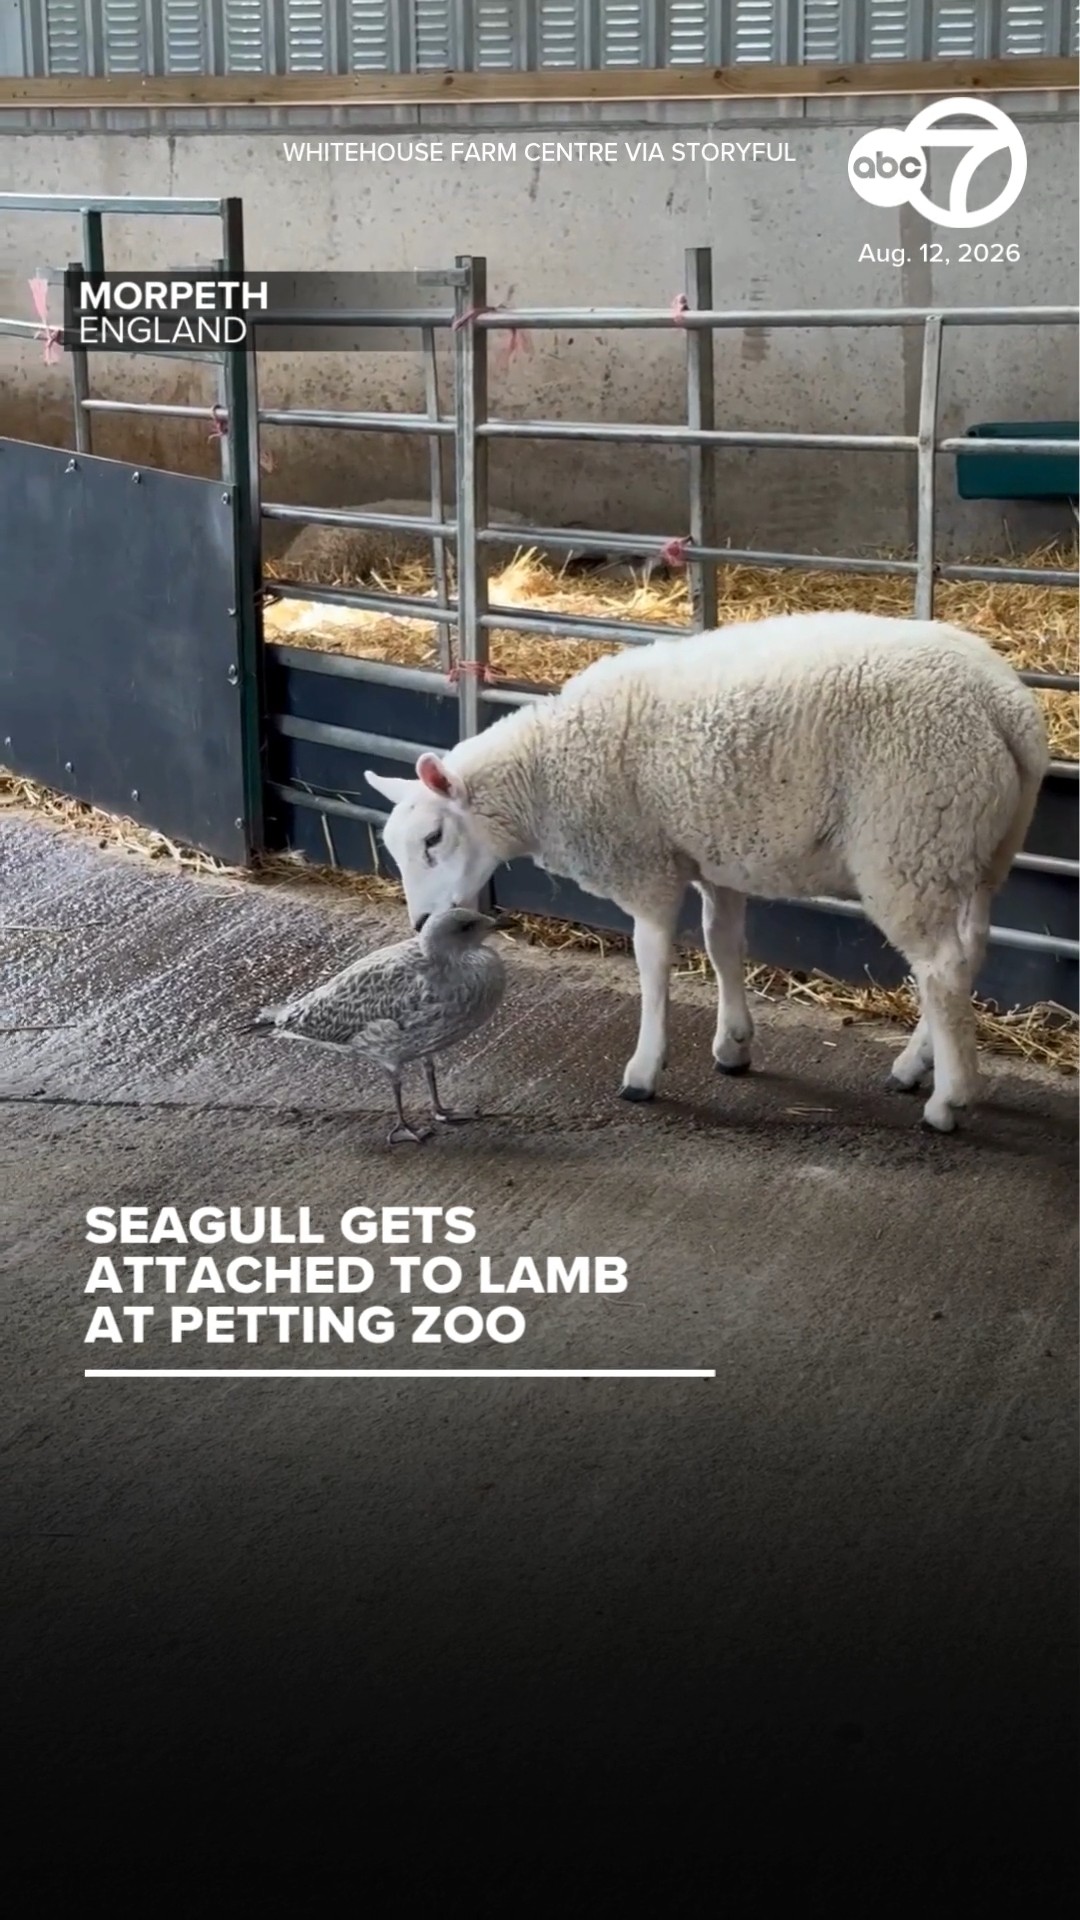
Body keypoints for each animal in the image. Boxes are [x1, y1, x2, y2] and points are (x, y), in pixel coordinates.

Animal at [364, 611, 1049, 1134]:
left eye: (433, 839)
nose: (422, 925)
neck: (546, 775)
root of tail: (1005, 705)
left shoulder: (645, 864)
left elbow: (652, 961)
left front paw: (644, 1071)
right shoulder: (714, 853)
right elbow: (724, 945)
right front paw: (733, 1045)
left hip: (909, 837)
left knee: (940, 968)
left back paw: (948, 1101)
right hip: (975, 849)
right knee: (966, 956)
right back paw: (915, 1065)